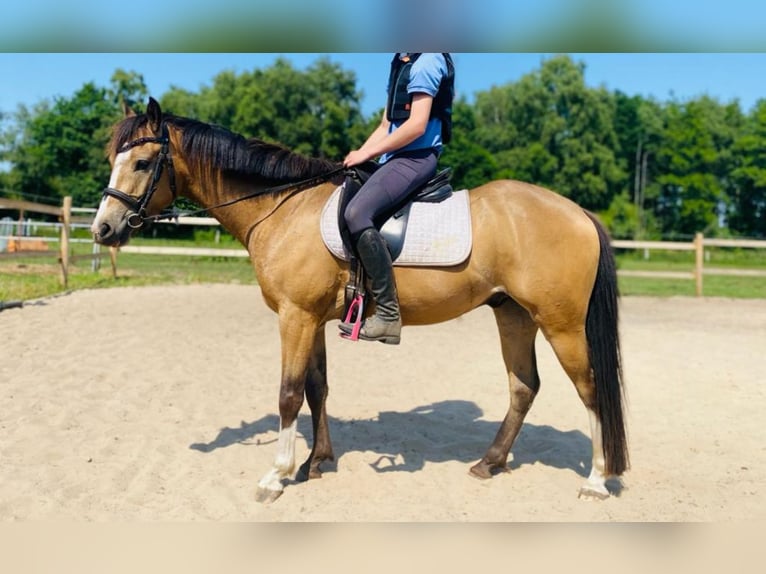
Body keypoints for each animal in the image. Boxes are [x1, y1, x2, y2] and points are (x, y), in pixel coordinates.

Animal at [91, 98, 632, 504]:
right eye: (113, 160)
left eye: (142, 163)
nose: (103, 230)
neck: (283, 208)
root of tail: (578, 212)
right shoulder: (311, 319)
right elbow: (317, 389)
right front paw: (317, 462)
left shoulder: (295, 317)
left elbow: (288, 394)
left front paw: (277, 474)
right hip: (513, 315)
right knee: (524, 386)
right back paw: (490, 463)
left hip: (561, 324)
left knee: (590, 388)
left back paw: (595, 481)